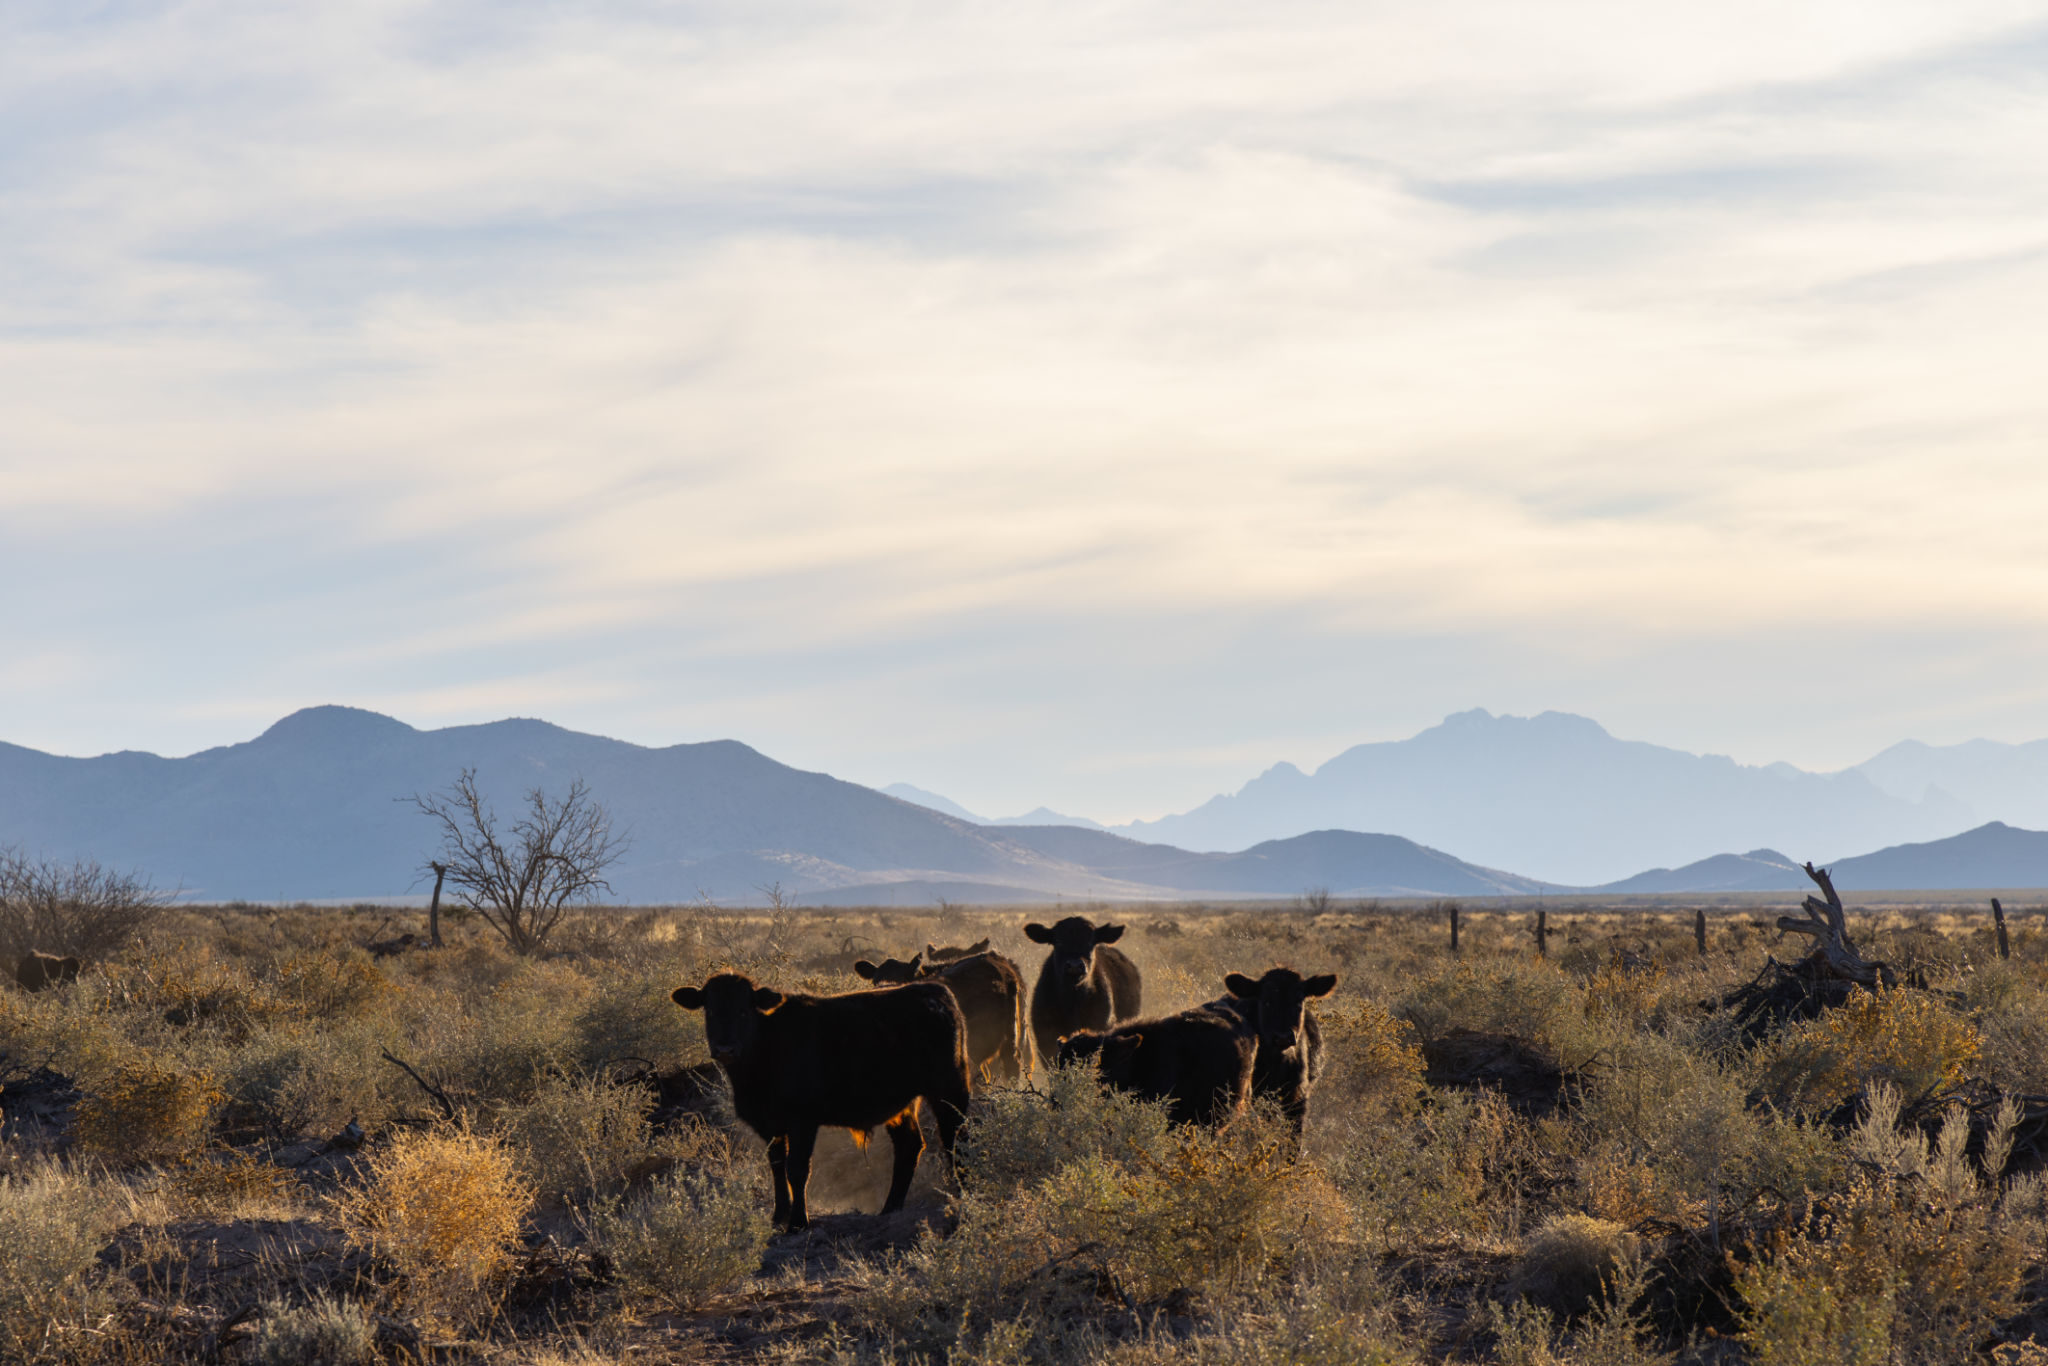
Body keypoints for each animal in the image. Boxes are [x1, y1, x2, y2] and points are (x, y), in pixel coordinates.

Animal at [670, 972, 971, 1230]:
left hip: (950, 1090)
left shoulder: (802, 1121)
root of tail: (935, 992)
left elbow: (797, 1169)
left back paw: (965, 1197)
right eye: (709, 1011)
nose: (725, 1049)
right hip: (903, 1107)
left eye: (744, 1011)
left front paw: (798, 1222)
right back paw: (890, 1209)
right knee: (909, 1146)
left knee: (956, 1140)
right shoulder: (769, 1126)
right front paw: (778, 1216)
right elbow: (777, 1167)